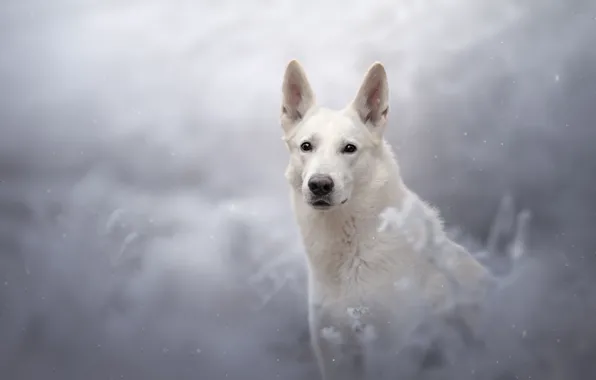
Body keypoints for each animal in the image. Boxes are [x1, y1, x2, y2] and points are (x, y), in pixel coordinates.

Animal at [280, 58, 498, 378]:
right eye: (306, 146)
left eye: (349, 148)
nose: (319, 185)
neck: (350, 250)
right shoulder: (334, 354)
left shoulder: (394, 351)